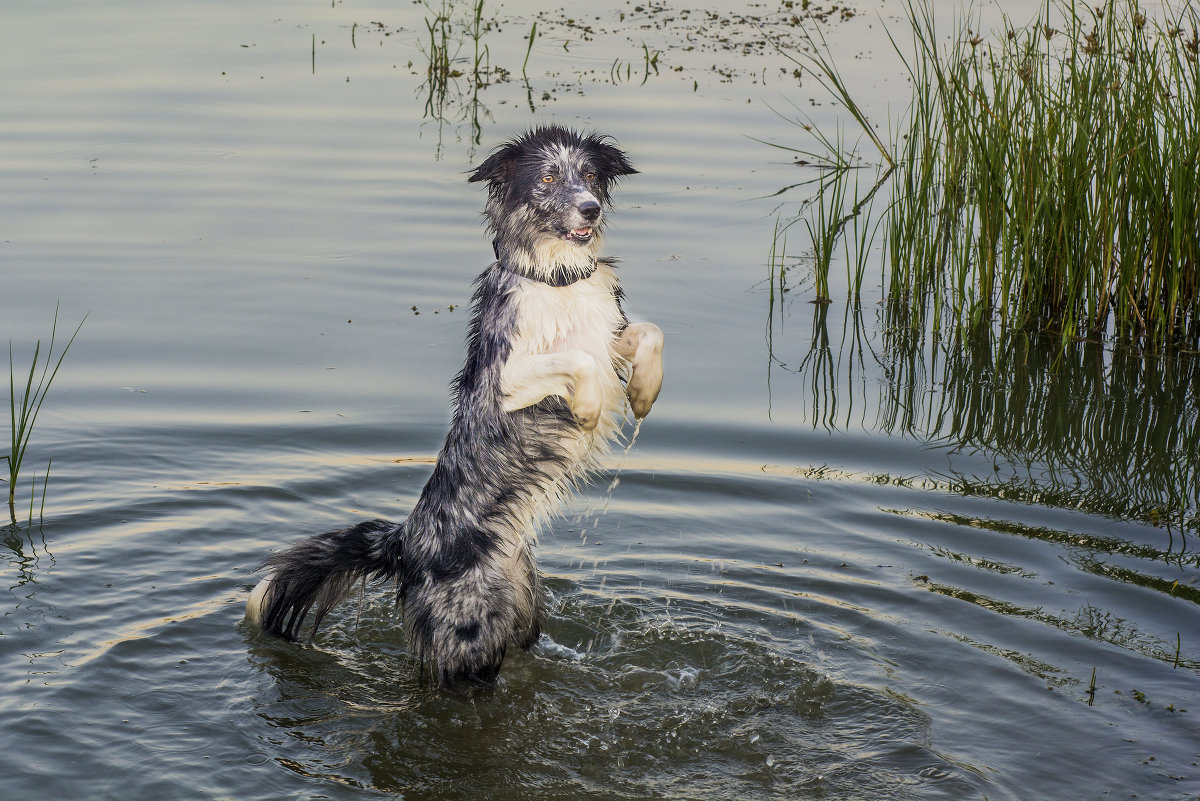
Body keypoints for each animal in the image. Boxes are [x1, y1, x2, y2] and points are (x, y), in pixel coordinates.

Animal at [244, 126, 667, 690]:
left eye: (592, 175)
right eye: (548, 178)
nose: (590, 208)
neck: (558, 279)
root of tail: (406, 543)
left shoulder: (610, 337)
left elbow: (648, 332)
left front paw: (644, 391)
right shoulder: (506, 380)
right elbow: (573, 359)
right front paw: (588, 409)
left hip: (523, 609)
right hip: (468, 641)